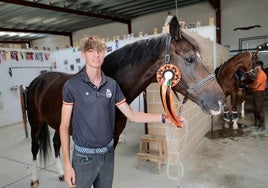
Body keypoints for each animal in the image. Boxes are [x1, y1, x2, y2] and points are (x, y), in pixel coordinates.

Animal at [26, 15, 225, 187]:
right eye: (190, 58)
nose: (220, 101)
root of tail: (37, 81)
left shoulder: (112, 140)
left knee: (56, 143)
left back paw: (61, 173)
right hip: (36, 123)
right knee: (35, 148)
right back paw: (34, 179)